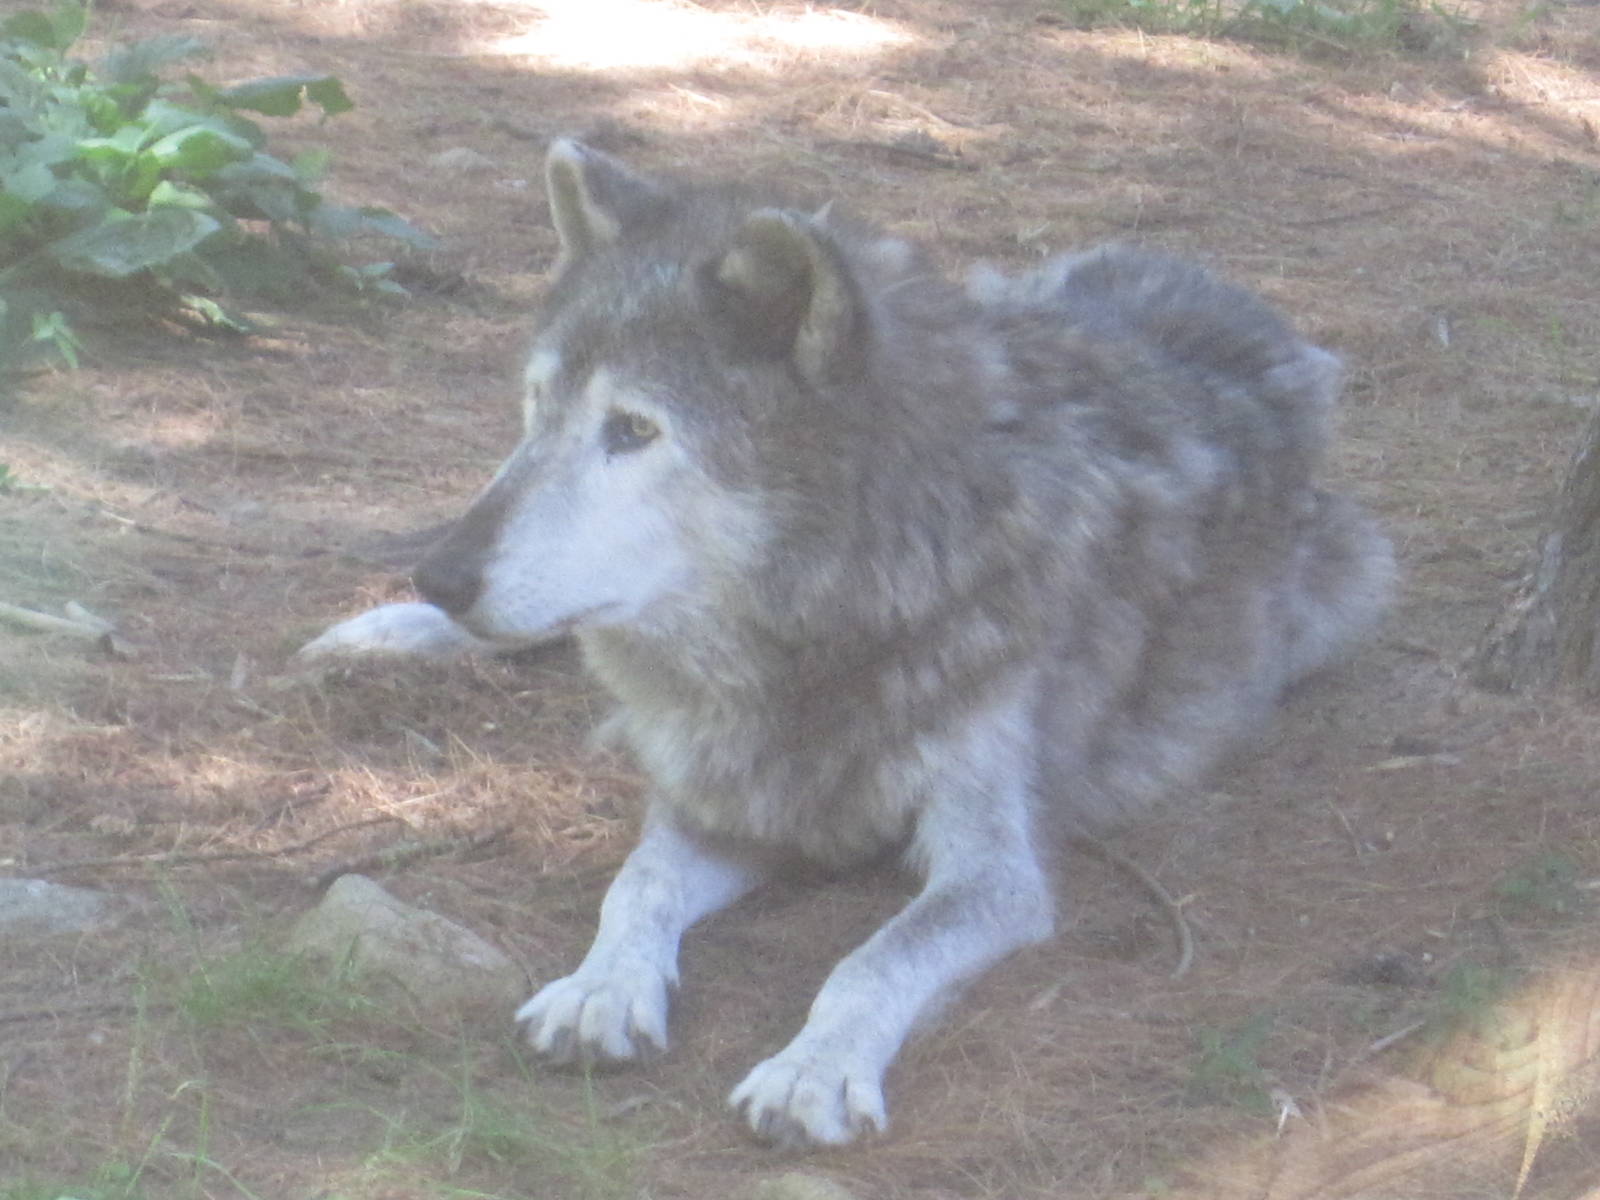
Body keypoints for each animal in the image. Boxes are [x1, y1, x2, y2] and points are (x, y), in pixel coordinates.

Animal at [300, 139, 1393, 1148]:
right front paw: (601, 990)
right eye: (537, 409)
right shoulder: (726, 795)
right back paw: (387, 636)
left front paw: (811, 1072)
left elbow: (875, 957)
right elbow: (636, 883)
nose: (439, 576)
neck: (835, 618)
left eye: (633, 430)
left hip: (1355, 585)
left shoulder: (996, 871)